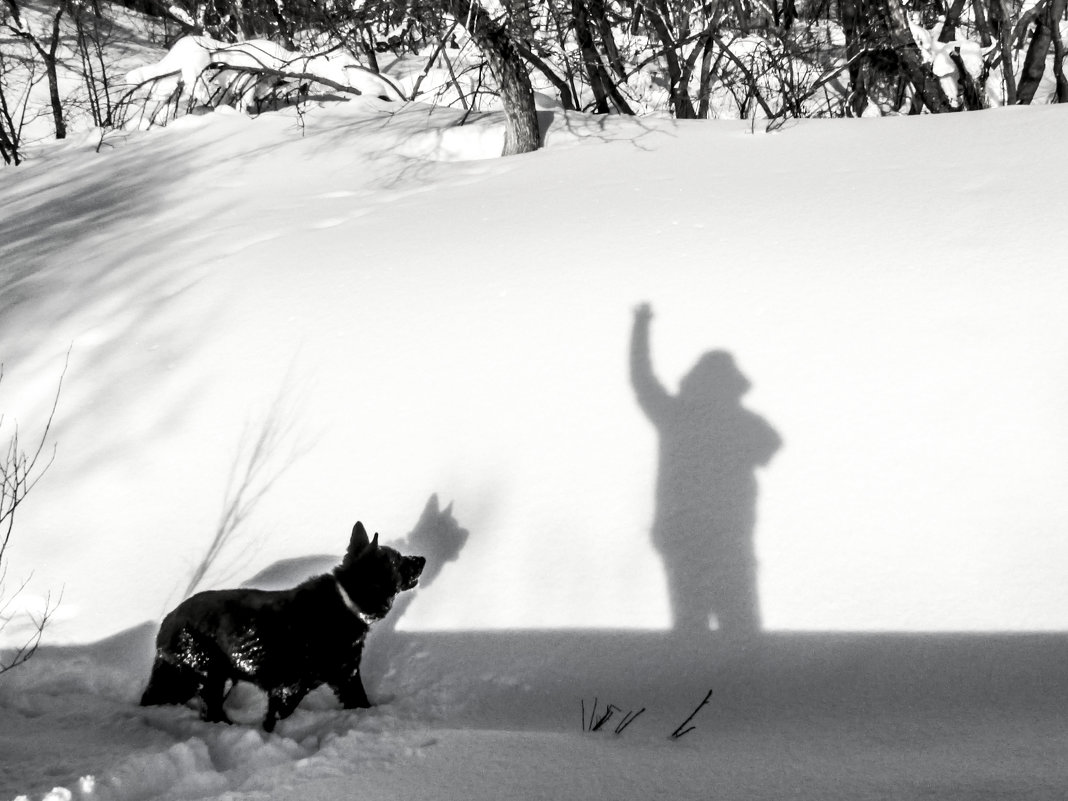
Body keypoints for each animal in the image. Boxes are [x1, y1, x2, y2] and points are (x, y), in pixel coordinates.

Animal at [140, 523, 425, 730]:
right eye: (398, 560)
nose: (422, 558)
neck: (345, 603)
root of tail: (167, 621)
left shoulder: (346, 676)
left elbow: (361, 702)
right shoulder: (287, 689)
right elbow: (273, 720)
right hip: (207, 676)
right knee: (210, 712)